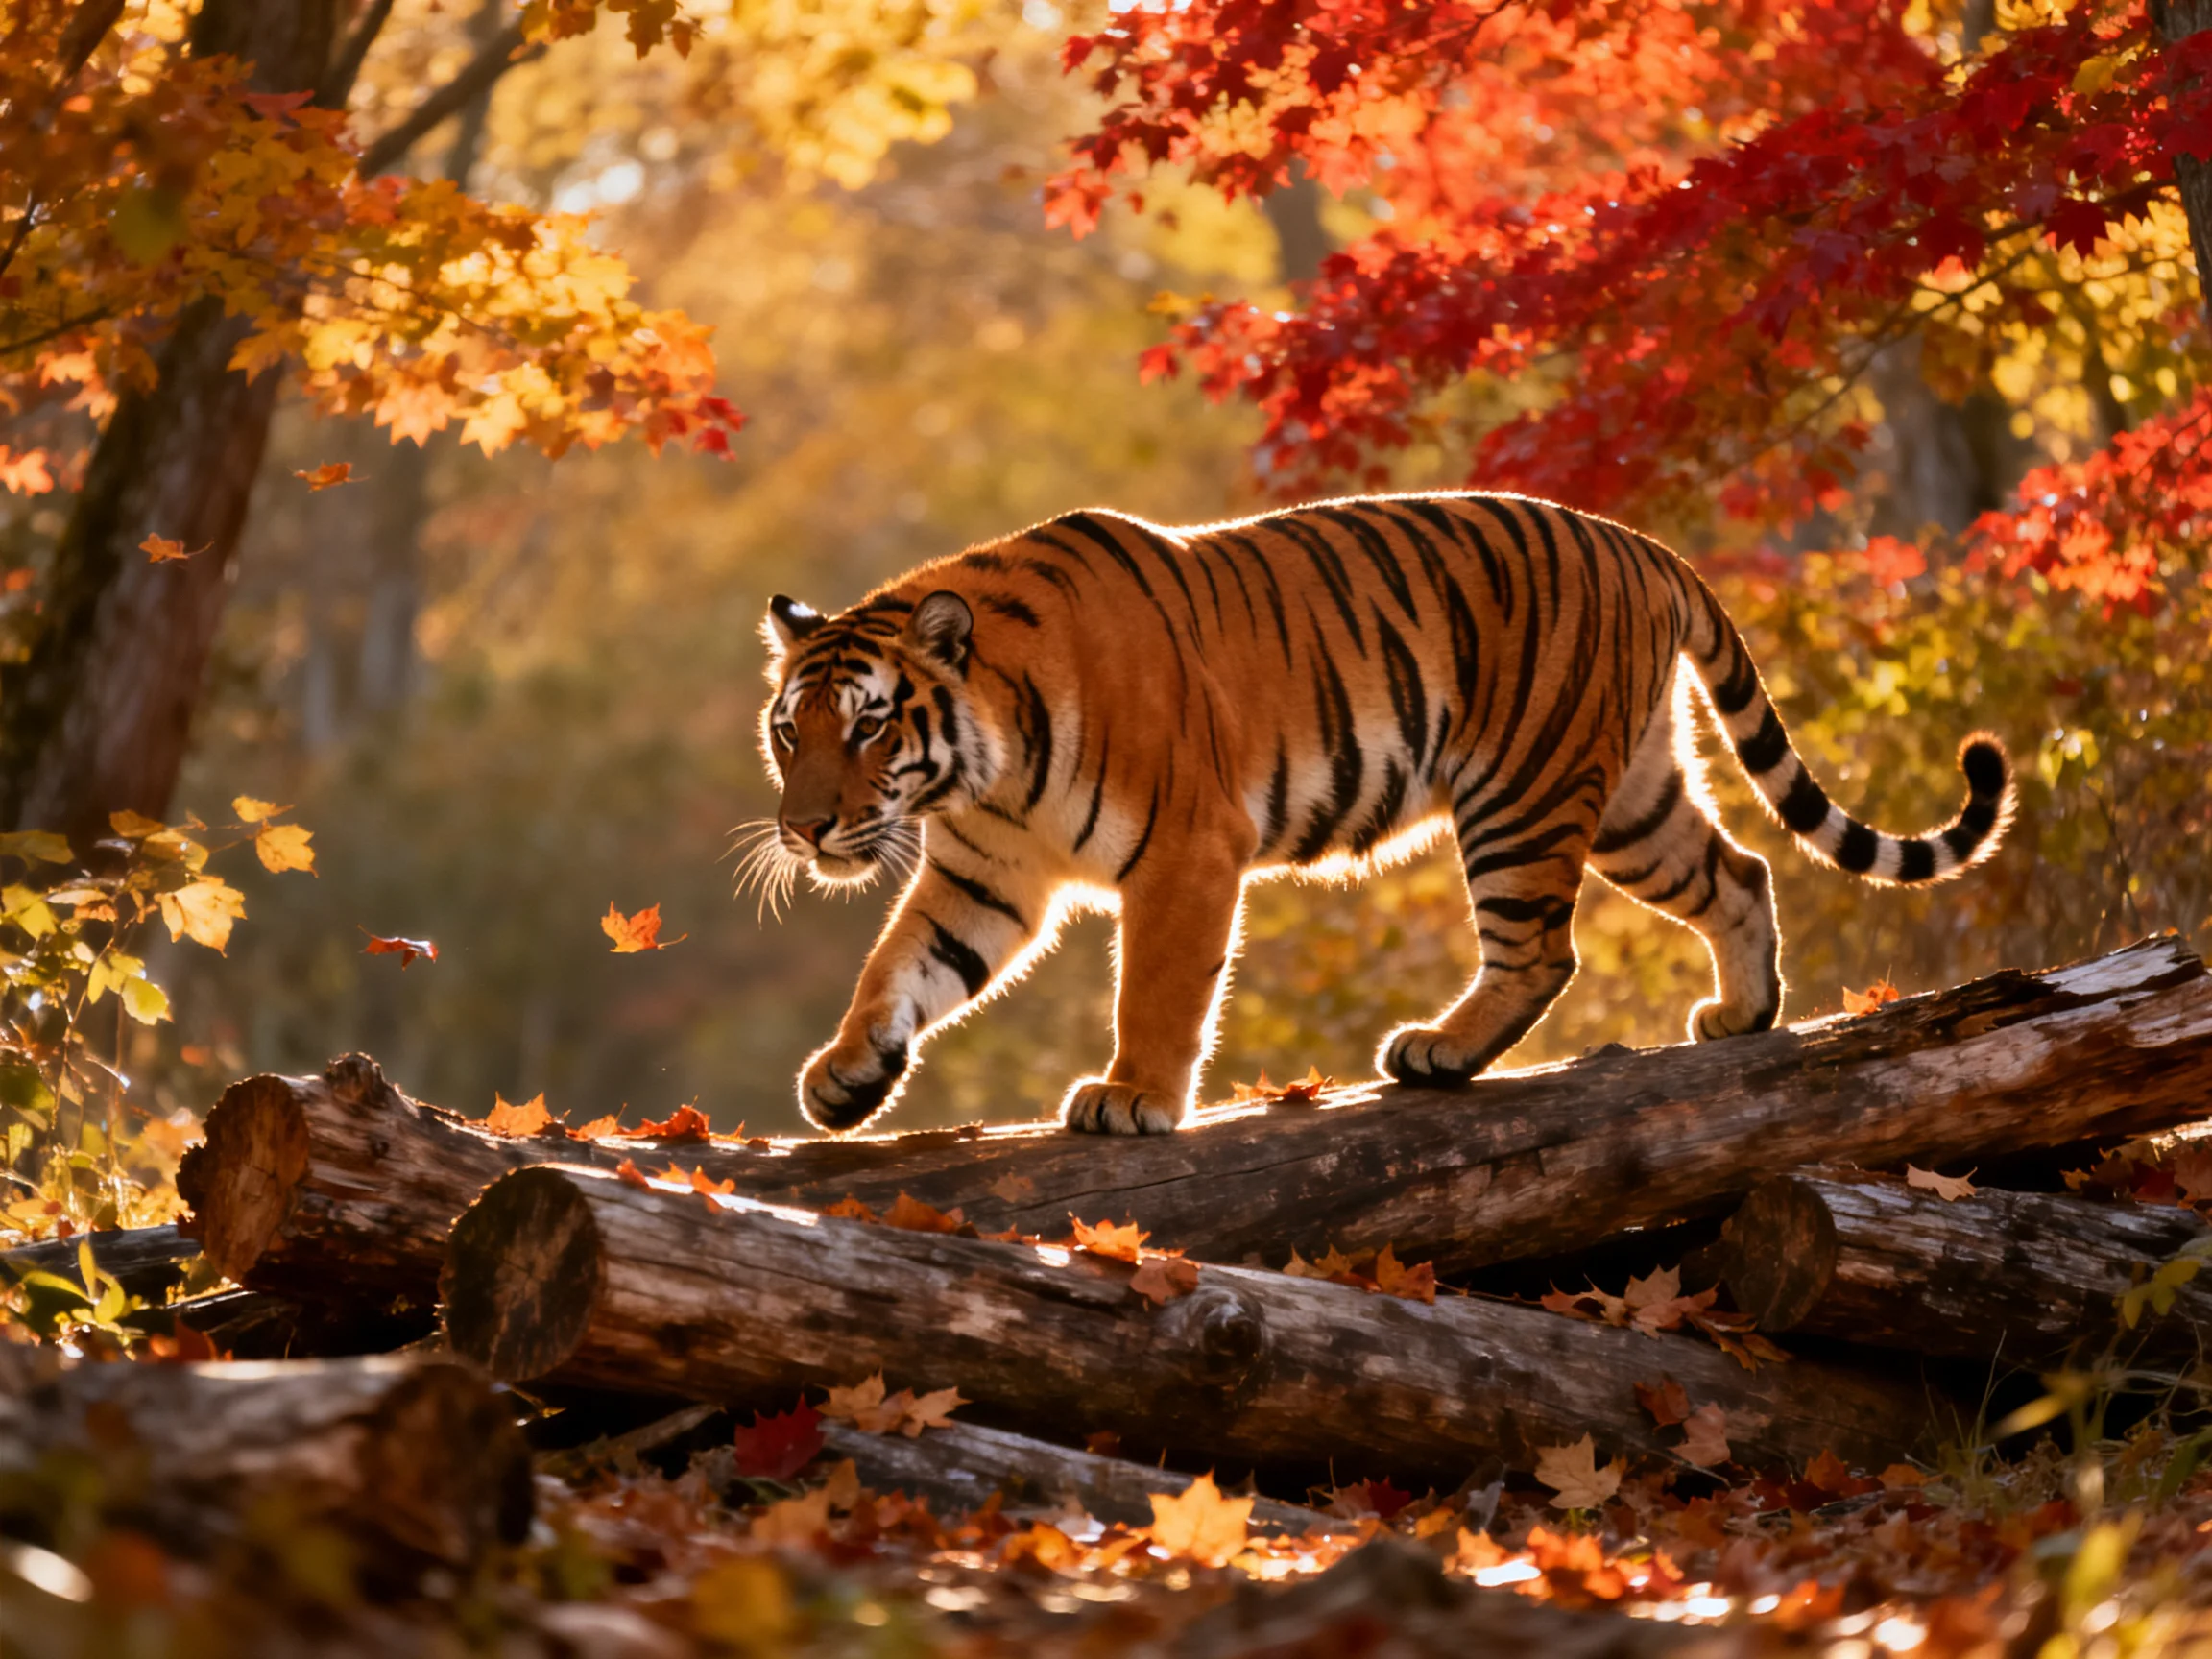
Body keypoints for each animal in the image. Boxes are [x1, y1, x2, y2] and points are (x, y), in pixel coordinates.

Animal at [753, 492, 2013, 1136]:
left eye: (869, 728)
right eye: (789, 732)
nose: (805, 829)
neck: (984, 765)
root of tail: (1644, 542)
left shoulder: (1186, 855)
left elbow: (1156, 992)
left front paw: (1133, 1098)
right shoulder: (985, 873)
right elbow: (901, 965)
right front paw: (846, 1075)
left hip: (1524, 791)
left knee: (1542, 950)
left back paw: (1439, 1052)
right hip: (1632, 800)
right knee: (1740, 872)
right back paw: (1742, 1015)